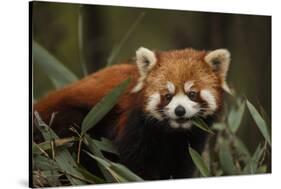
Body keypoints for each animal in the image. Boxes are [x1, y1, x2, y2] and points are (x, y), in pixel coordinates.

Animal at [33, 46, 230, 179]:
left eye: (192, 94)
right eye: (167, 96)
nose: (179, 111)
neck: (172, 132)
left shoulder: (191, 140)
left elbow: (182, 164)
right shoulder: (135, 124)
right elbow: (135, 163)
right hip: (67, 122)